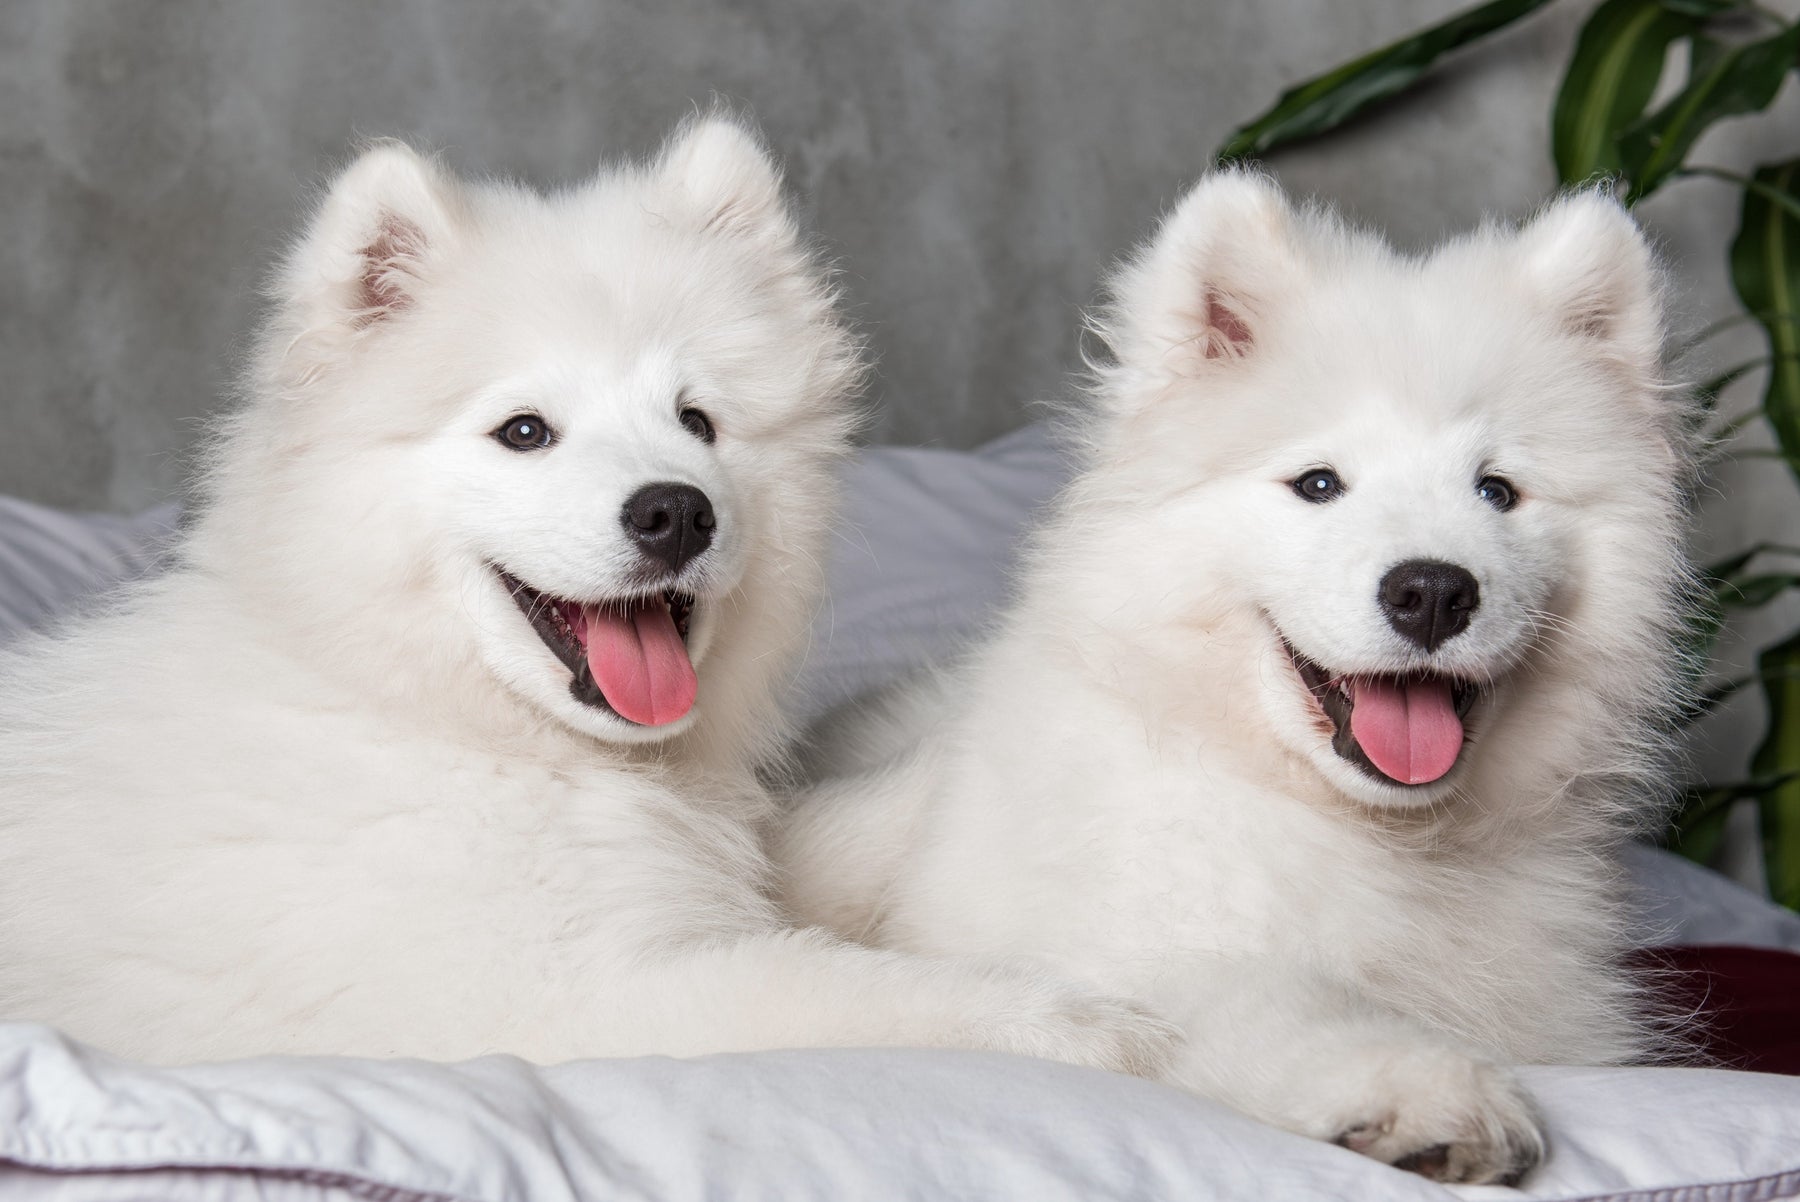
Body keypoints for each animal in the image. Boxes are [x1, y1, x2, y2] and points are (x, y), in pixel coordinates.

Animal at [0, 116, 1166, 1072]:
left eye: (698, 422)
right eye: (525, 431)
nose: (677, 513)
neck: (442, 722)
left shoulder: (709, 861)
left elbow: (863, 823)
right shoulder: (554, 1001)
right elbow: (839, 988)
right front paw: (1065, 1021)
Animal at [781, 173, 1692, 1187]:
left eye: (1497, 492)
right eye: (1320, 484)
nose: (1432, 592)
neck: (1375, 840)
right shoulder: (1126, 940)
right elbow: (1262, 999)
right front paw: (1418, 1083)